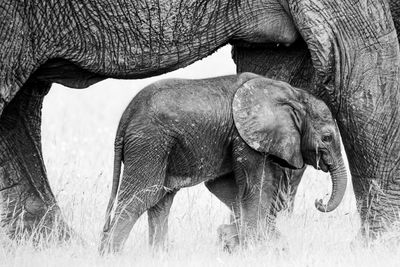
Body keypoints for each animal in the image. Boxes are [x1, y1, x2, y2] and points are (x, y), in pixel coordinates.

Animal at [100, 72, 346, 254]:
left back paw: (158, 255)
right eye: (327, 137)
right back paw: (112, 256)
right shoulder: (244, 138)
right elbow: (256, 186)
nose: (319, 201)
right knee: (140, 198)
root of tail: (126, 116)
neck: (293, 94)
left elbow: (224, 187)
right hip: (150, 144)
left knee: (161, 200)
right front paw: (254, 247)